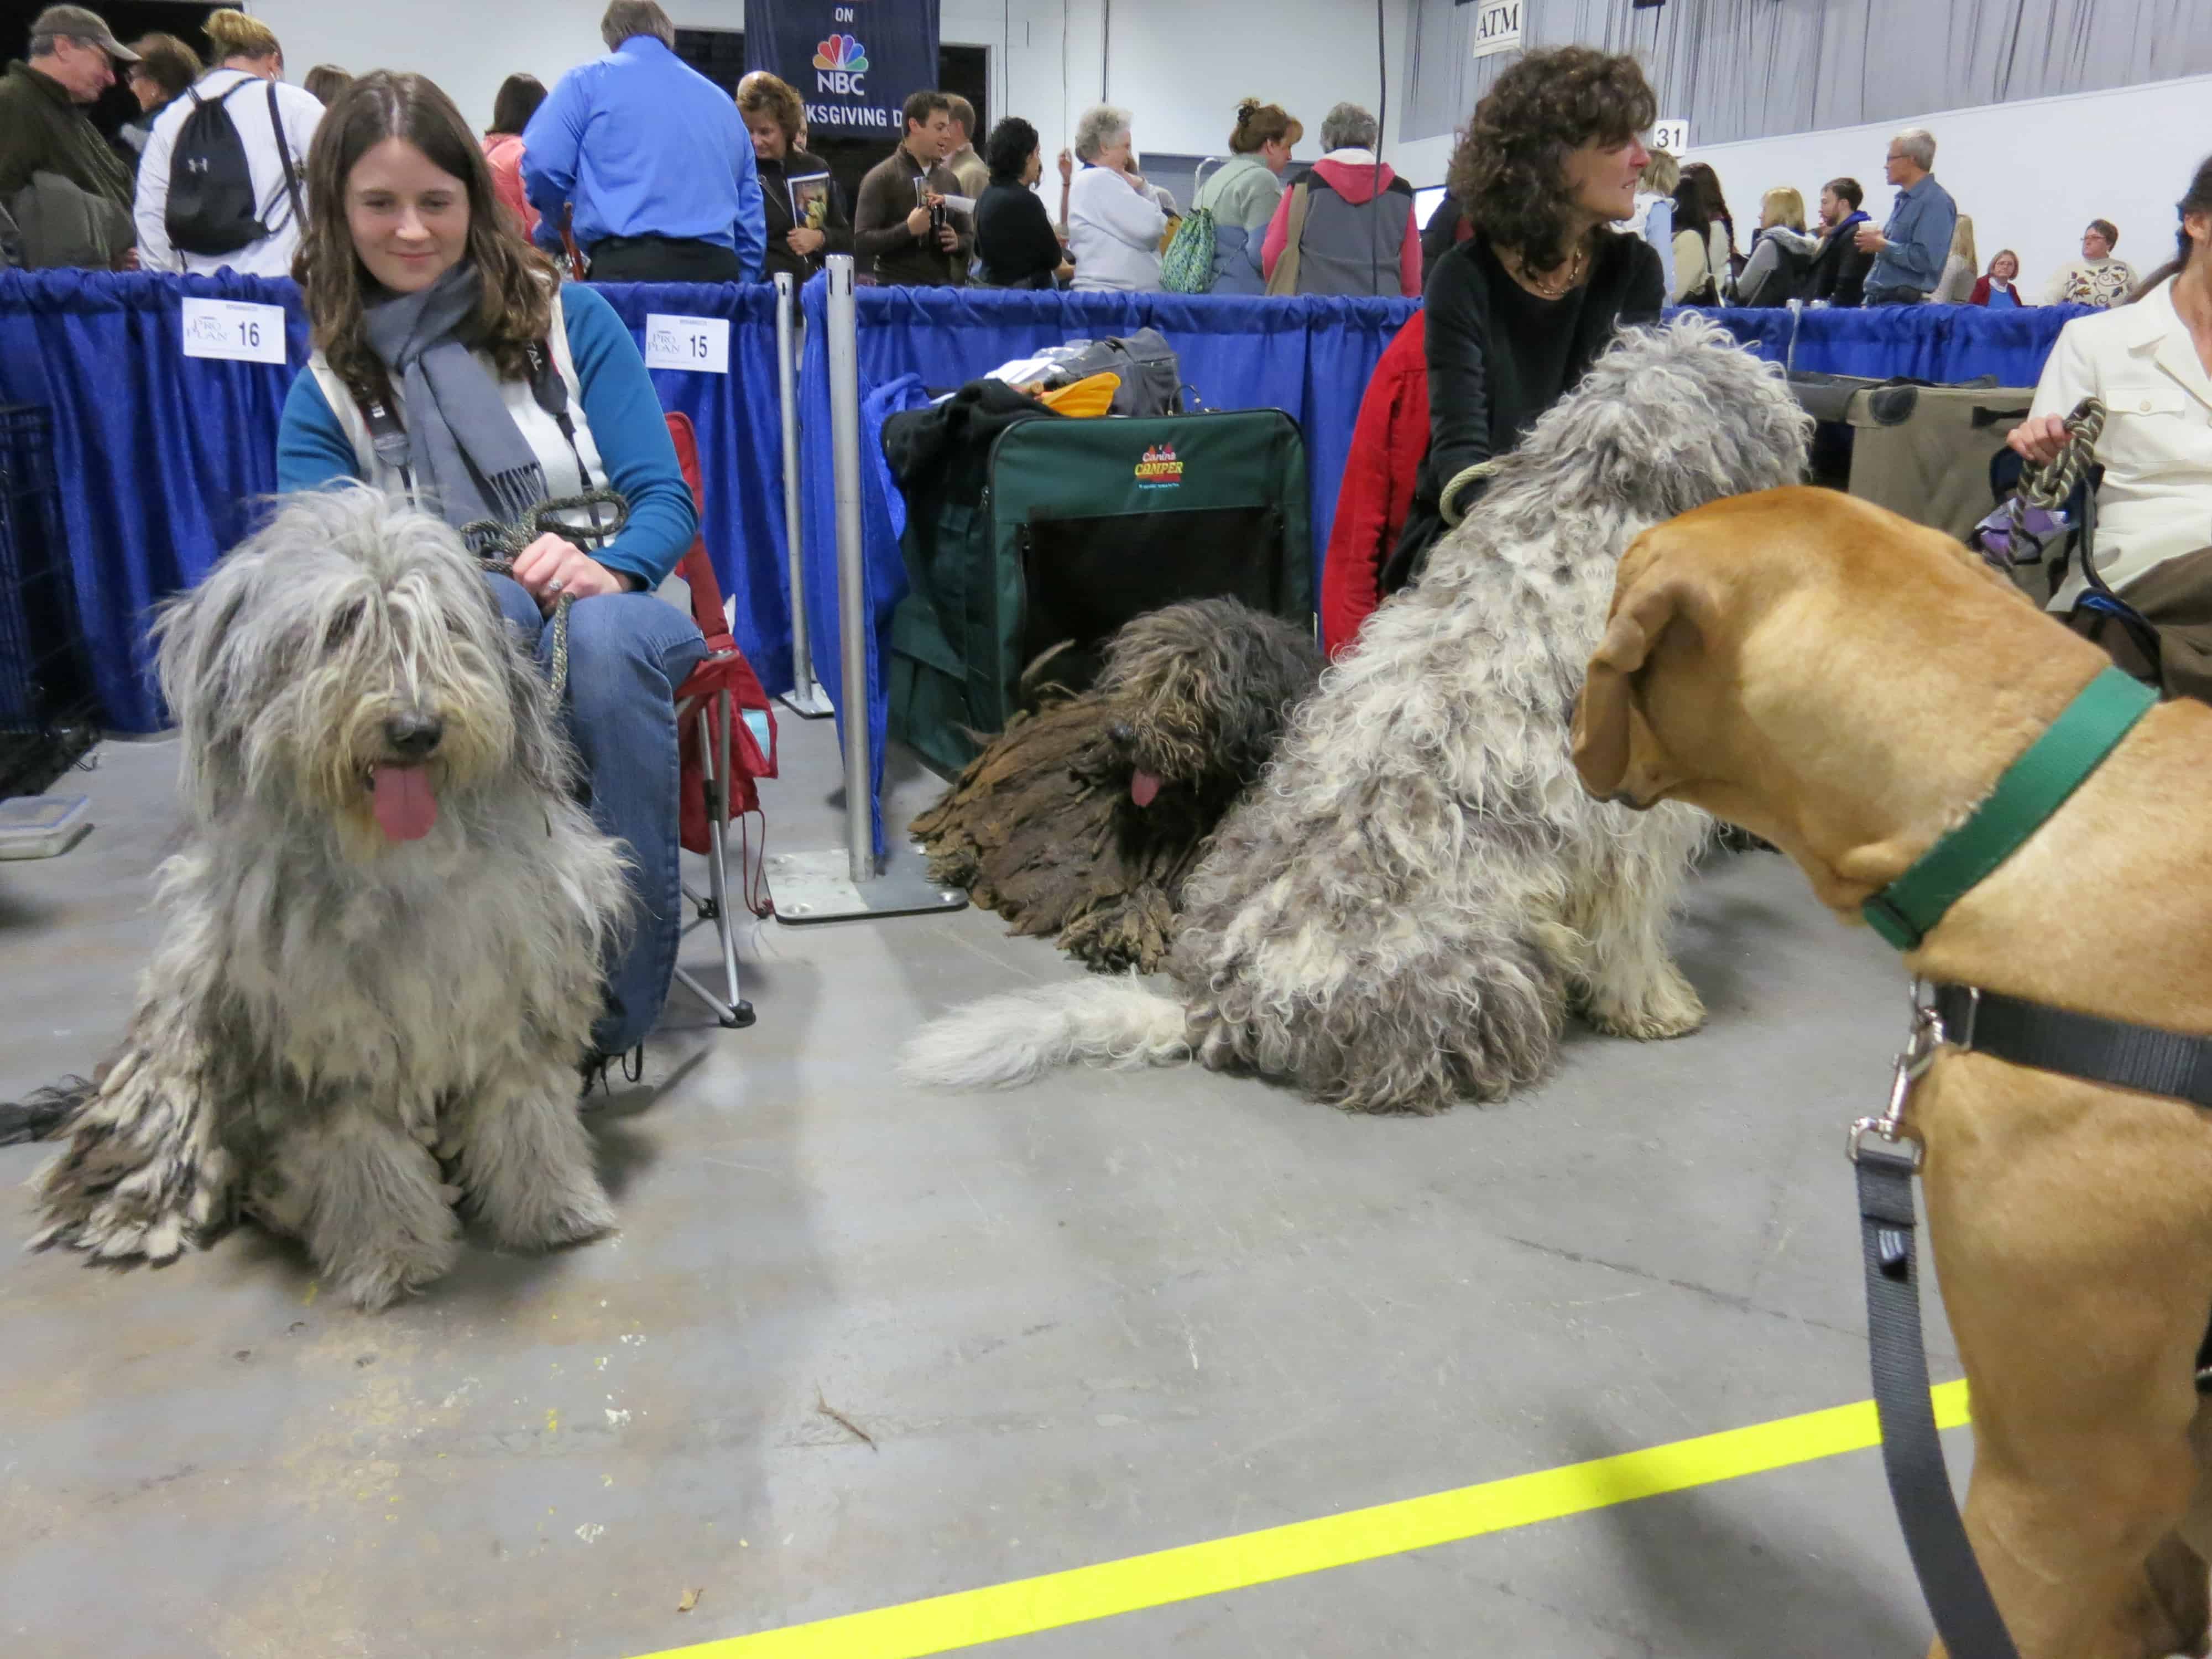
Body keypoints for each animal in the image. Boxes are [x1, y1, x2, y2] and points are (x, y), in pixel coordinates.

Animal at [8, 491, 633, 1310]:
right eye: (341, 628)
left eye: (445, 626)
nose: (416, 729)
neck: (397, 860)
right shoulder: (325, 1044)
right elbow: (363, 1160)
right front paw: (390, 1255)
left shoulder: (514, 1000)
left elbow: (526, 1118)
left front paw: (557, 1208)